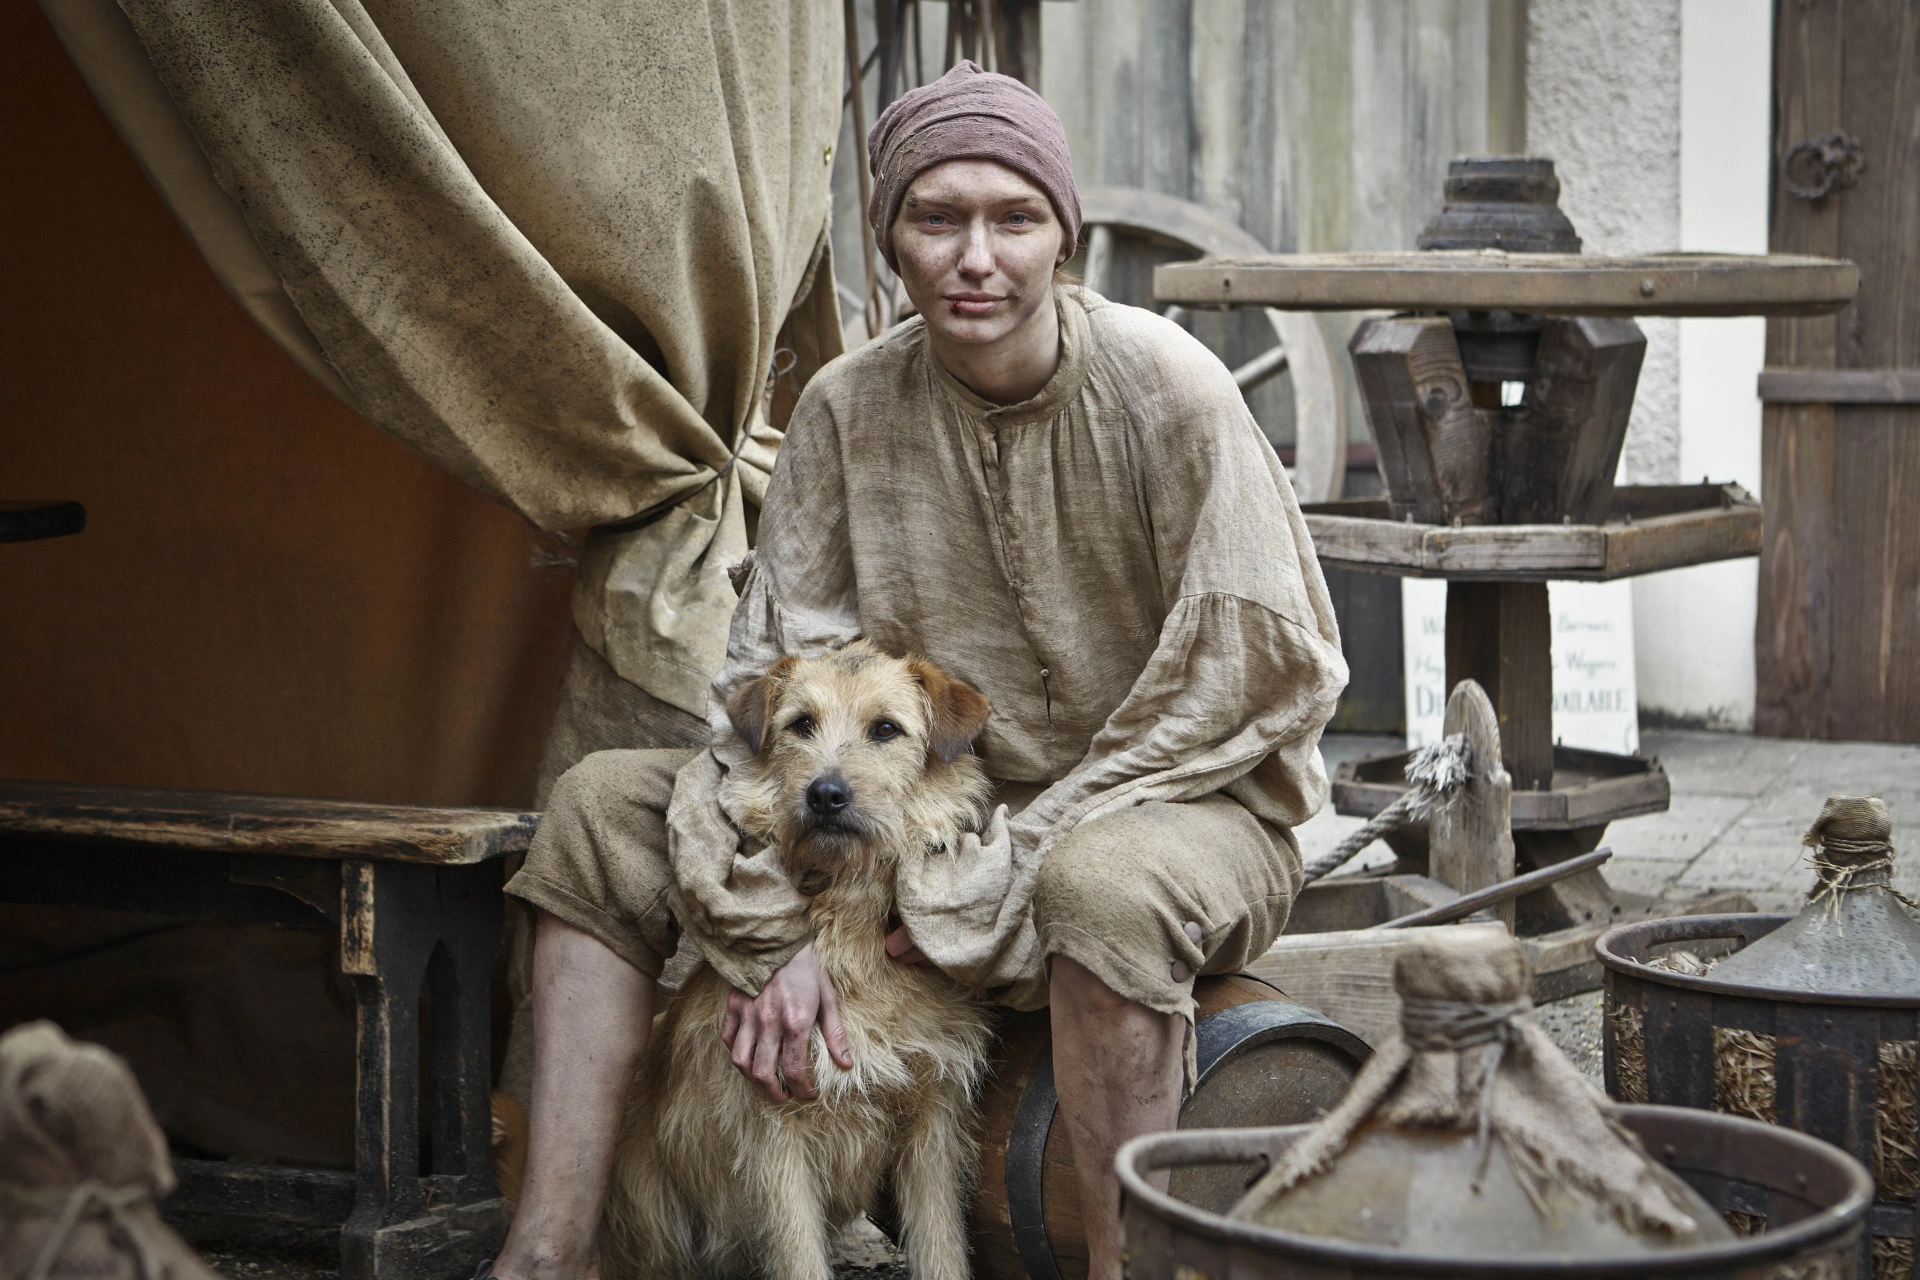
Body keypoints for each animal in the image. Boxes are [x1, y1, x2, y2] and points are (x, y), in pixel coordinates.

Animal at [595, 640, 990, 1280]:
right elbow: (798, 1254)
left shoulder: (931, 1128)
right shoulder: (775, 1132)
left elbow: (942, 1251)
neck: (847, 929)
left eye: (886, 729)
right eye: (801, 724)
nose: (825, 794)